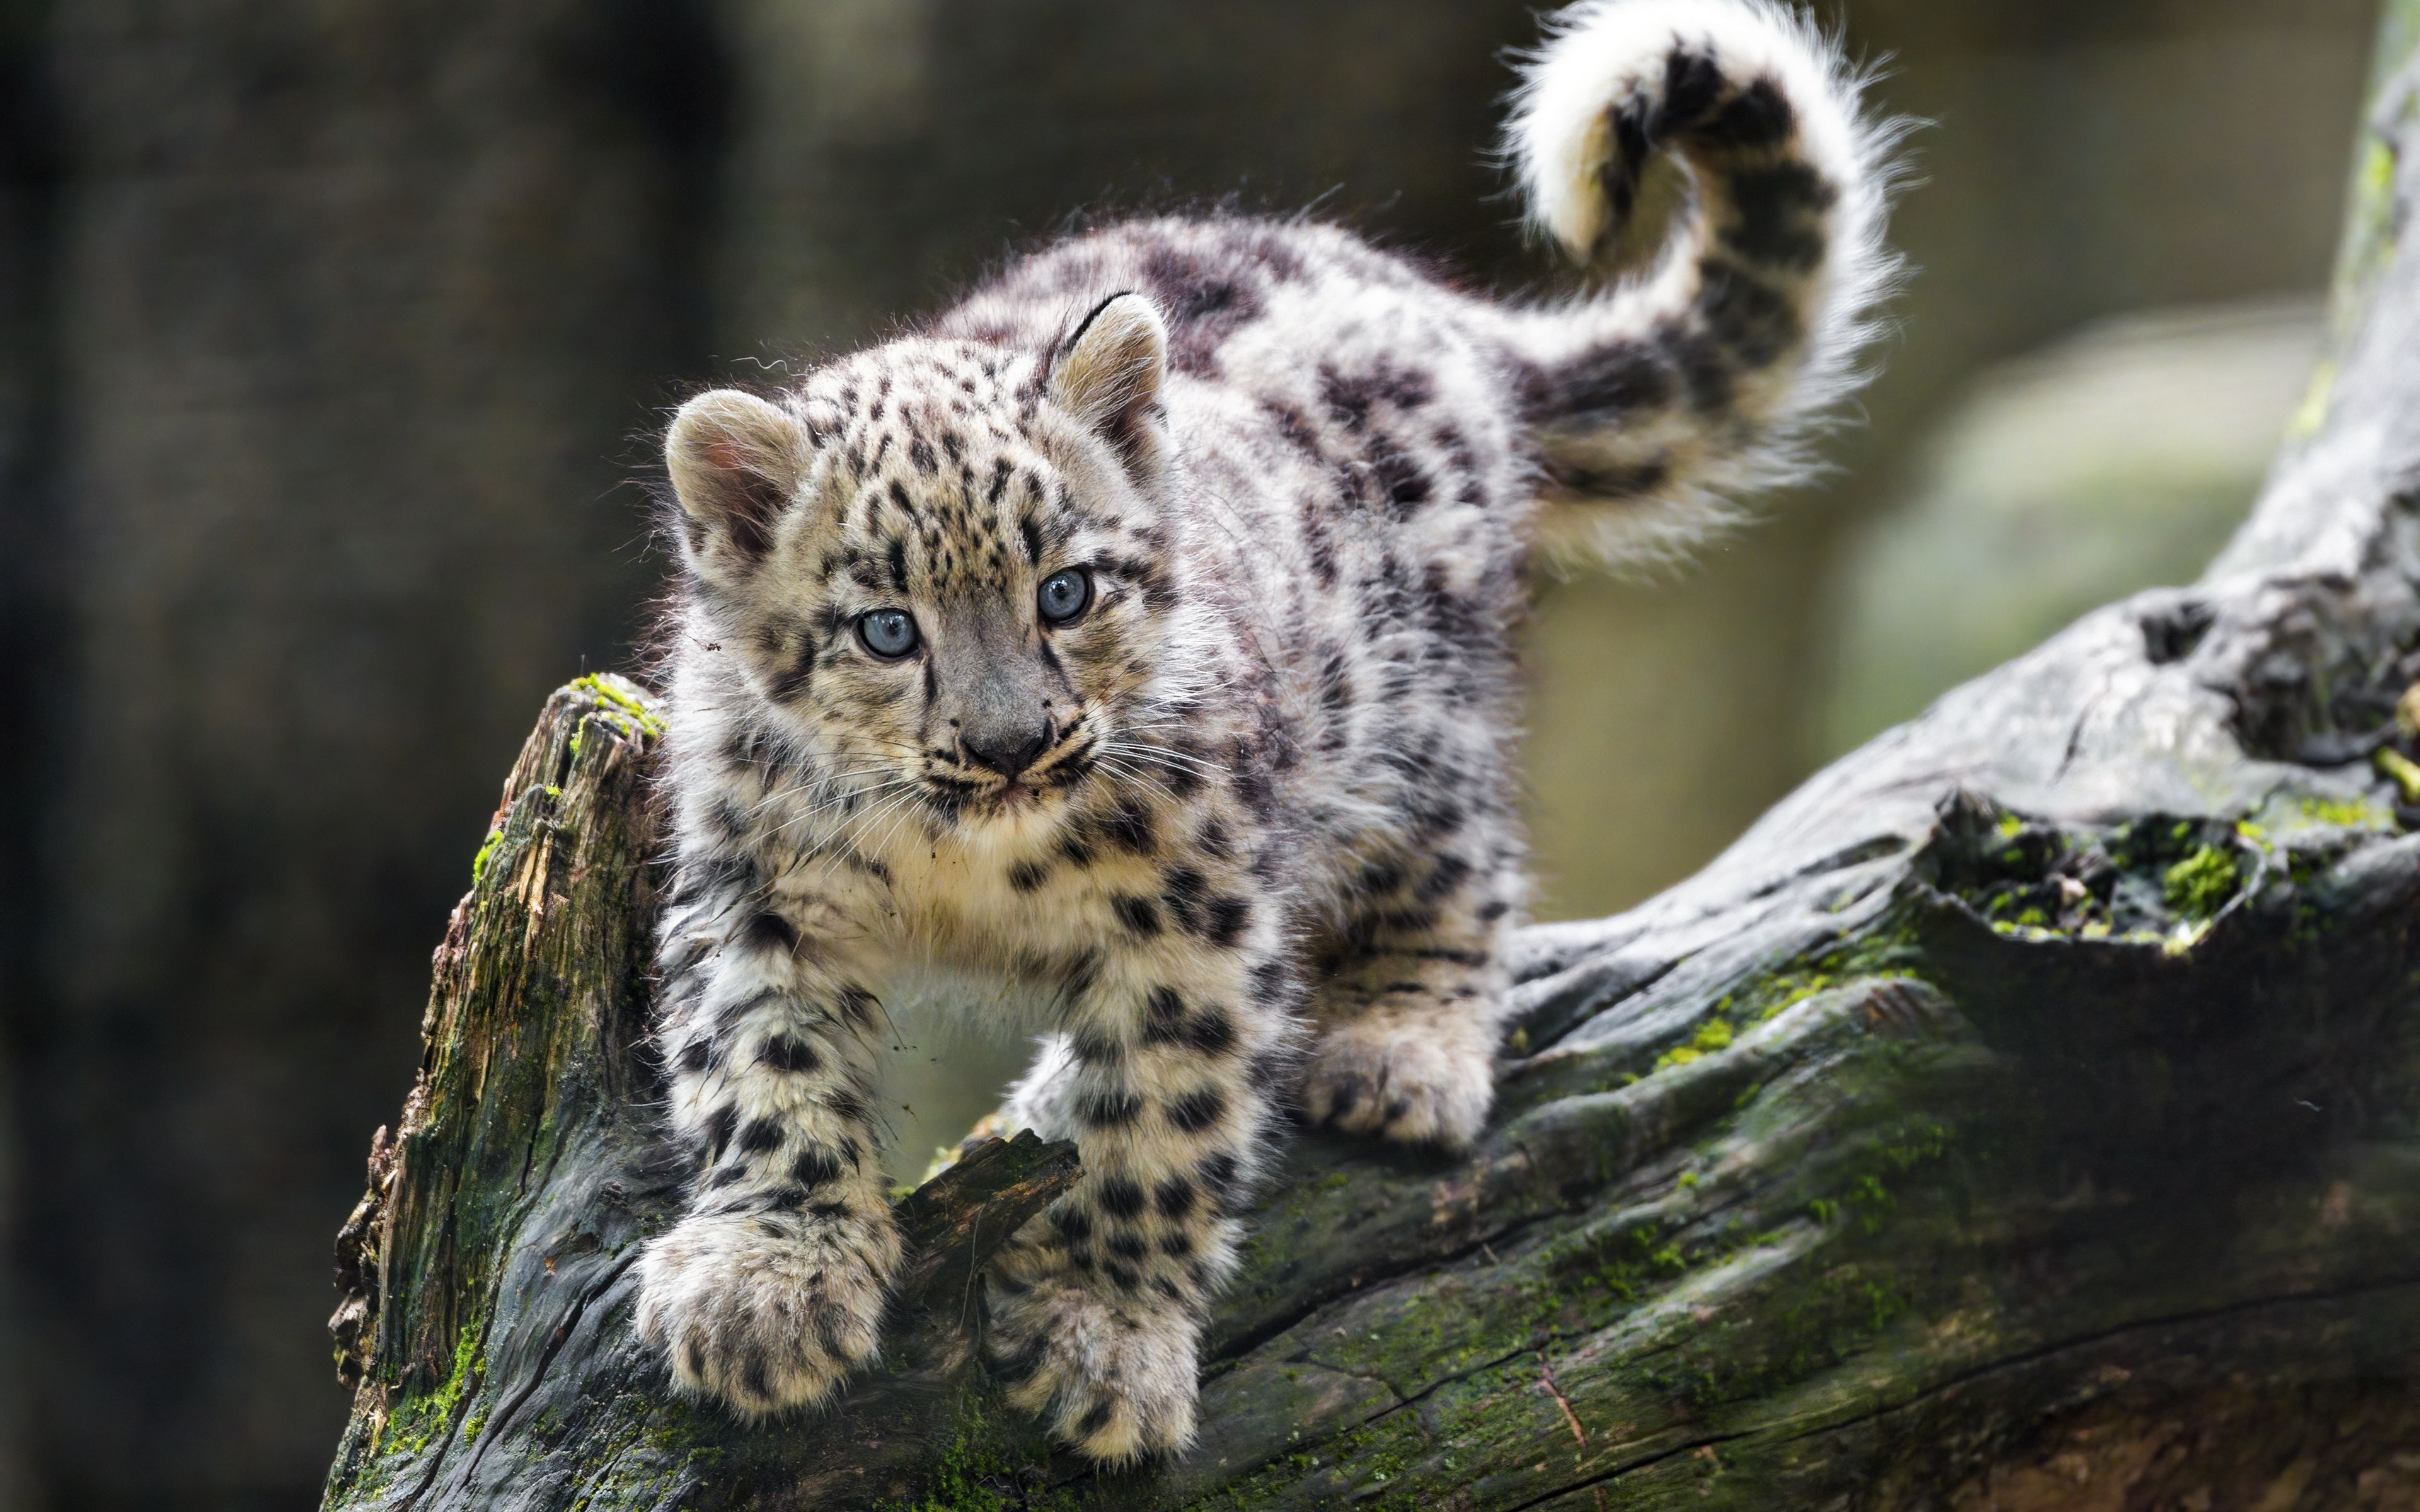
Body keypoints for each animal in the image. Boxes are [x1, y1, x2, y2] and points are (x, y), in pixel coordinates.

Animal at [633, 0, 1900, 1465]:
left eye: (1065, 591)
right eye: (888, 629)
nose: (1013, 745)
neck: (964, 867)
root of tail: (1439, 306)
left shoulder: (1194, 915)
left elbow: (1169, 1119)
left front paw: (1105, 1336)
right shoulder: (759, 886)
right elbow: (761, 1064)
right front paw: (766, 1286)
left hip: (1414, 718)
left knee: (1464, 856)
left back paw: (1398, 1052)